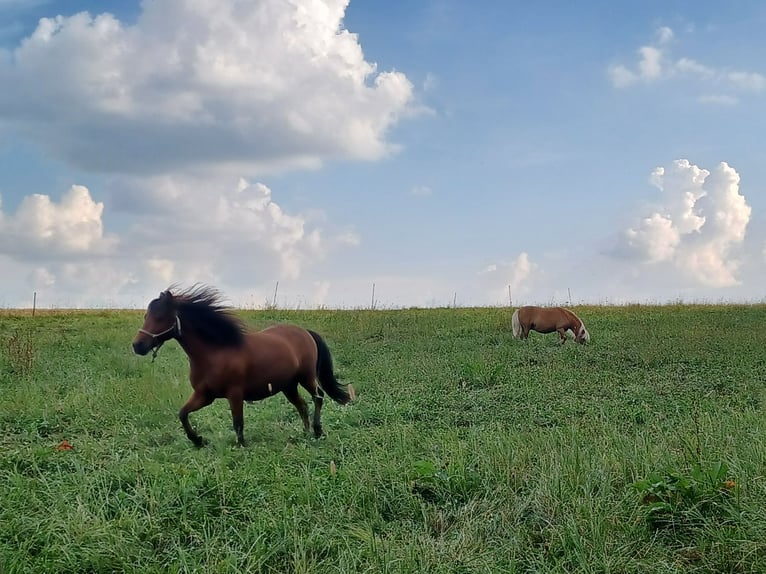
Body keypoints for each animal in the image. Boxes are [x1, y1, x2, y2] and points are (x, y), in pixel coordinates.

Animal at [132, 285, 350, 447]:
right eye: (146, 316)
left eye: (160, 317)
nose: (137, 345)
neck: (215, 353)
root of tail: (305, 332)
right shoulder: (204, 395)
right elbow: (183, 413)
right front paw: (198, 440)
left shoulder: (234, 394)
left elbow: (238, 423)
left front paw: (241, 446)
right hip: (288, 386)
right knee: (302, 405)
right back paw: (305, 433)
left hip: (306, 377)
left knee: (318, 396)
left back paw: (317, 430)